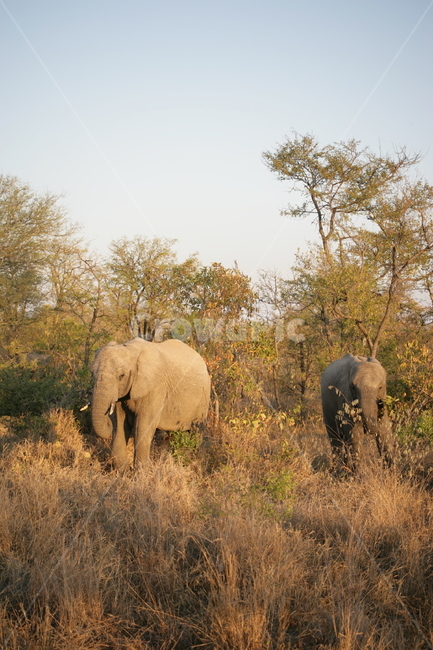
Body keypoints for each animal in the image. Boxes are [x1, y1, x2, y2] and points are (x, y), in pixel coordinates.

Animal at [91, 337, 211, 471]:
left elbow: (142, 425)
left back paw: (192, 463)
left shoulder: (156, 387)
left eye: (121, 376)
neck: (131, 350)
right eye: (92, 374)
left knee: (196, 430)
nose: (107, 420)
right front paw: (122, 471)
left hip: (203, 397)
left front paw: (141, 471)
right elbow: (119, 423)